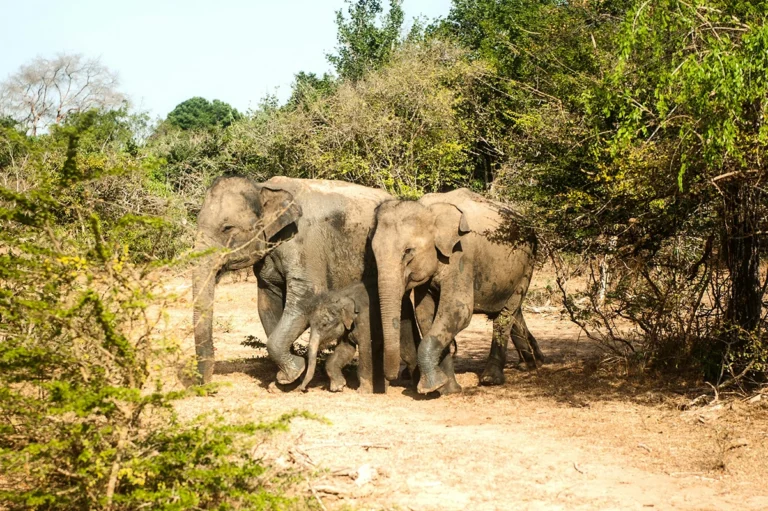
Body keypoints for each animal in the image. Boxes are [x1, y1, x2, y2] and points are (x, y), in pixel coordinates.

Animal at [193, 175, 411, 385]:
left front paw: (293, 373)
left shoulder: (304, 244)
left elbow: (305, 298)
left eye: (227, 228)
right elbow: (266, 304)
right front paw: (286, 380)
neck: (263, 187)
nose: (205, 384)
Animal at [371, 188, 544, 395]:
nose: (390, 379)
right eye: (373, 252)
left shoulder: (461, 255)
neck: (429, 209)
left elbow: (458, 310)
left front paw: (431, 387)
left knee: (506, 314)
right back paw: (533, 363)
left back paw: (491, 379)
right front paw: (447, 389)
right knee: (512, 311)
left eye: (408, 251)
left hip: (528, 263)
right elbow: (426, 314)